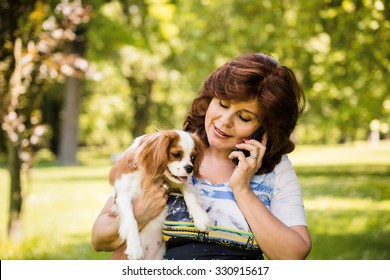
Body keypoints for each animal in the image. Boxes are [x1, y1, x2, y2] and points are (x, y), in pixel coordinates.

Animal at [108, 130, 210, 260]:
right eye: (176, 154)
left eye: (193, 157)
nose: (190, 168)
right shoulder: (123, 196)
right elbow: (131, 220)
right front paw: (135, 246)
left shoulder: (173, 182)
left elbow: (189, 193)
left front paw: (200, 217)